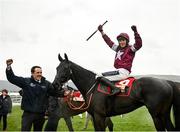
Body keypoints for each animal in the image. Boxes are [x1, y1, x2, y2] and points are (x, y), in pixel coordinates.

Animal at [52, 53, 180, 131]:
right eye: (57, 68)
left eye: (65, 68)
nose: (55, 85)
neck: (91, 85)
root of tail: (167, 82)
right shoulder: (95, 116)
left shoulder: (99, 116)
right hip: (164, 114)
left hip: (156, 115)